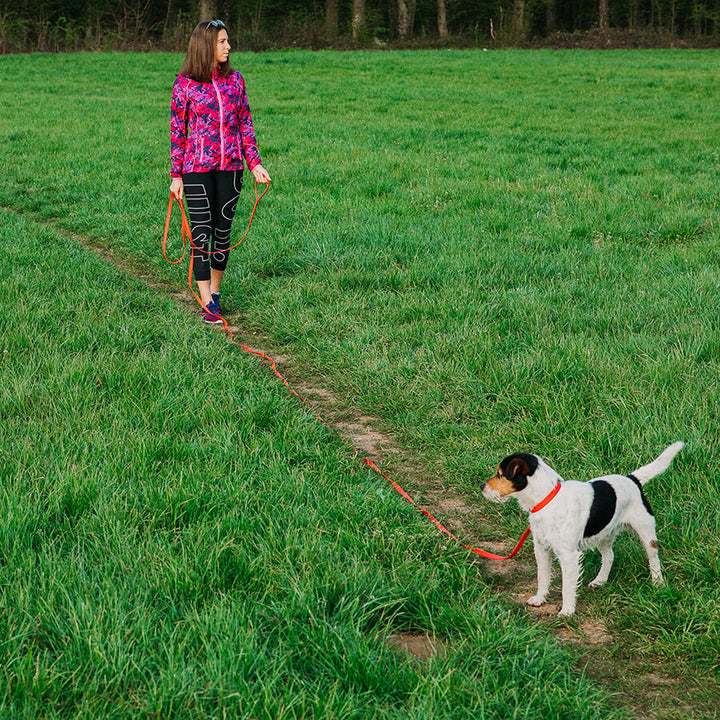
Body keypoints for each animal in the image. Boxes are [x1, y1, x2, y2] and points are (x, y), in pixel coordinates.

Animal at [480, 442, 684, 616]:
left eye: (500, 474)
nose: (481, 486)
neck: (547, 499)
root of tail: (632, 479)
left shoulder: (568, 555)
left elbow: (567, 586)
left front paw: (567, 611)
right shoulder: (541, 548)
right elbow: (542, 576)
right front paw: (540, 598)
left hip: (646, 531)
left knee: (654, 559)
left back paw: (658, 584)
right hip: (603, 535)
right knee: (609, 556)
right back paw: (600, 580)